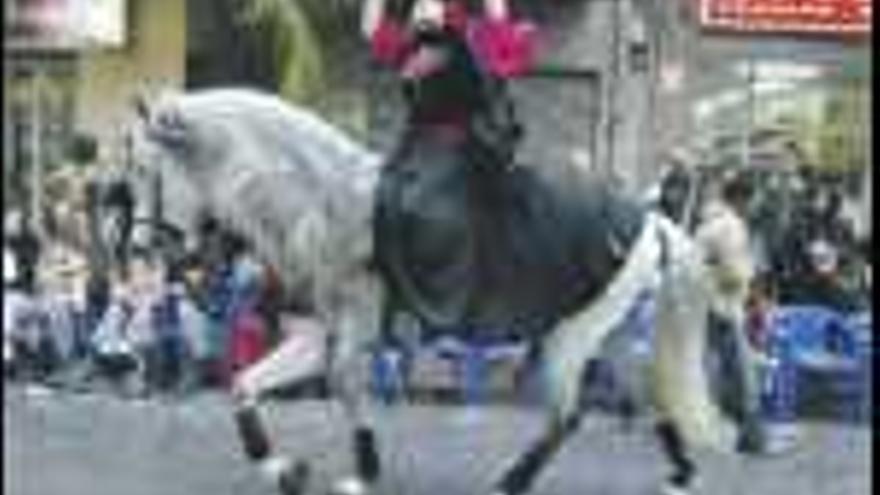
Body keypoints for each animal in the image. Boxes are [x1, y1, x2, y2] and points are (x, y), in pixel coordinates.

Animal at [127, 88, 748, 495]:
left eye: (144, 172)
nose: (141, 252)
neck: (324, 200)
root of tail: (649, 220)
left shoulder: (355, 329)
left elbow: (345, 383)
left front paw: (363, 470)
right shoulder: (316, 333)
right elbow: (244, 384)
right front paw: (278, 466)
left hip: (572, 339)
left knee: (567, 416)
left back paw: (512, 481)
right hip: (605, 334)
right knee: (640, 395)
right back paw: (679, 472)